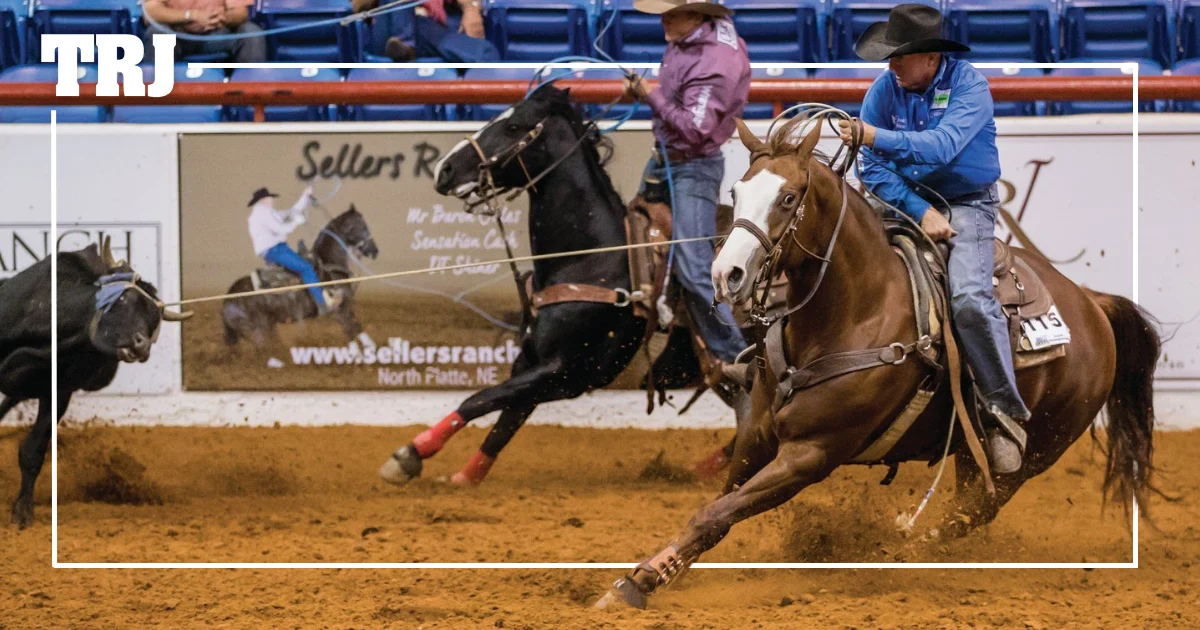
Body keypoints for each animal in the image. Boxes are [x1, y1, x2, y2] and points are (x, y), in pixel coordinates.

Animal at [221, 206, 379, 348]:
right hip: (258, 330)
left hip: (269, 327)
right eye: (362, 226)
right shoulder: (341, 311)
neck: (329, 264)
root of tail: (227, 301)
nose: (374, 251)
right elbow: (355, 330)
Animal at [377, 85, 753, 487]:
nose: (444, 168)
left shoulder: (567, 371)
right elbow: (505, 419)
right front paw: (465, 476)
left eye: (512, 126)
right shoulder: (532, 362)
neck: (589, 257)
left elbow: (480, 400)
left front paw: (411, 453)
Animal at [599, 115, 1161, 608]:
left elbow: (715, 514)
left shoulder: (810, 454)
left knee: (973, 513)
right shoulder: (758, 437)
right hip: (968, 450)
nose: (726, 274)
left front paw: (634, 585)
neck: (853, 313)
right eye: (736, 193)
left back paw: (902, 549)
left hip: (1037, 449)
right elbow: (716, 509)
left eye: (787, 198)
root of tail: (1093, 304)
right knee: (967, 504)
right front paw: (647, 574)